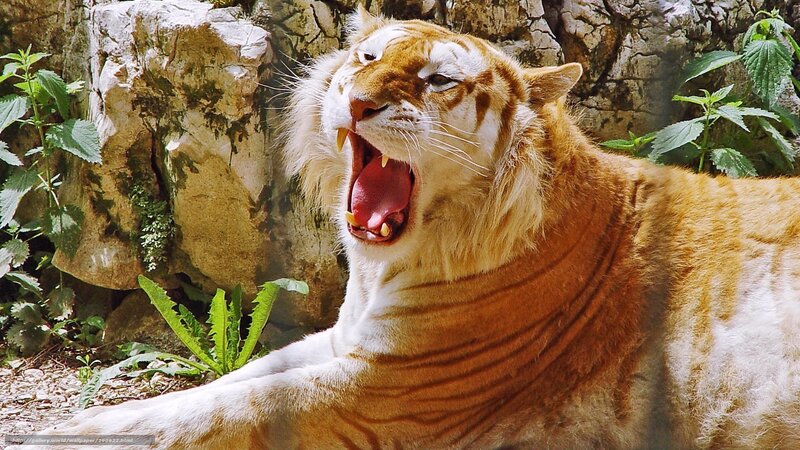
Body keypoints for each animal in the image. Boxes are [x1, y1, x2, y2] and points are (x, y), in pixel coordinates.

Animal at [18, 6, 800, 450]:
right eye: (367, 59)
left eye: (437, 81)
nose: (360, 101)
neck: (384, 267)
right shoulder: (349, 342)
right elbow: (211, 390)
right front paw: (70, 429)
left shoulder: (392, 387)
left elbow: (222, 412)